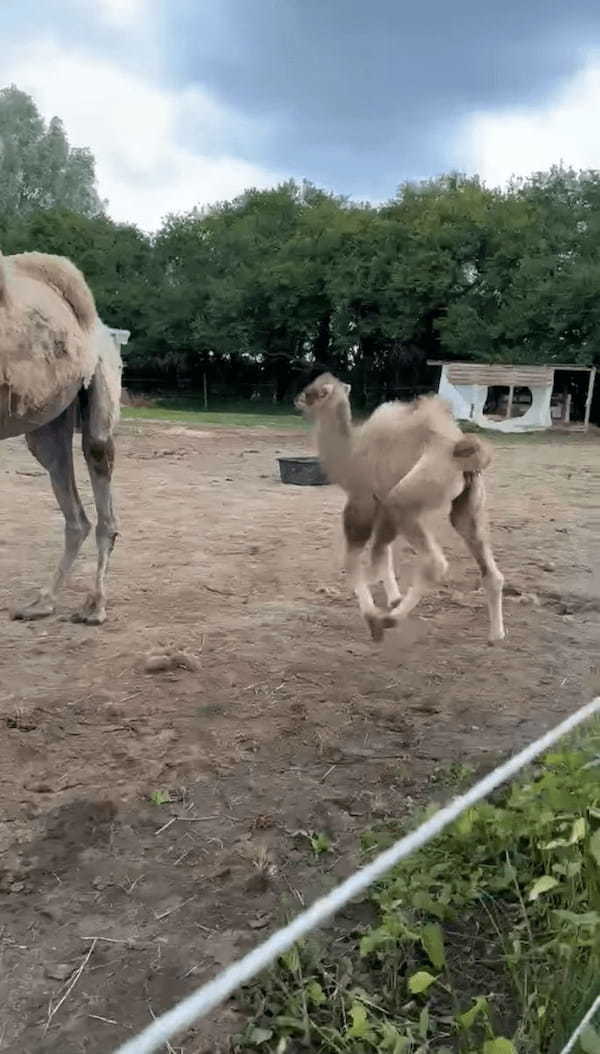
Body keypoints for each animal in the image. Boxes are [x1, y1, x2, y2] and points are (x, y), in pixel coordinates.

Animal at [0, 249, 122, 619]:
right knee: (75, 513)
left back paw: (95, 606)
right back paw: (43, 602)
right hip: (46, 425)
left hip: (101, 384)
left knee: (97, 457)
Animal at [295, 375, 506, 645]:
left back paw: (388, 620)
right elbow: (382, 554)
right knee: (489, 568)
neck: (350, 456)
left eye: (311, 392)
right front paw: (393, 599)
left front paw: (373, 616)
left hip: (408, 496)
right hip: (468, 503)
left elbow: (354, 561)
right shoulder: (382, 505)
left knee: (434, 563)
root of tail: (460, 447)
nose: (297, 399)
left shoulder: (362, 501)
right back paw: (496, 635)